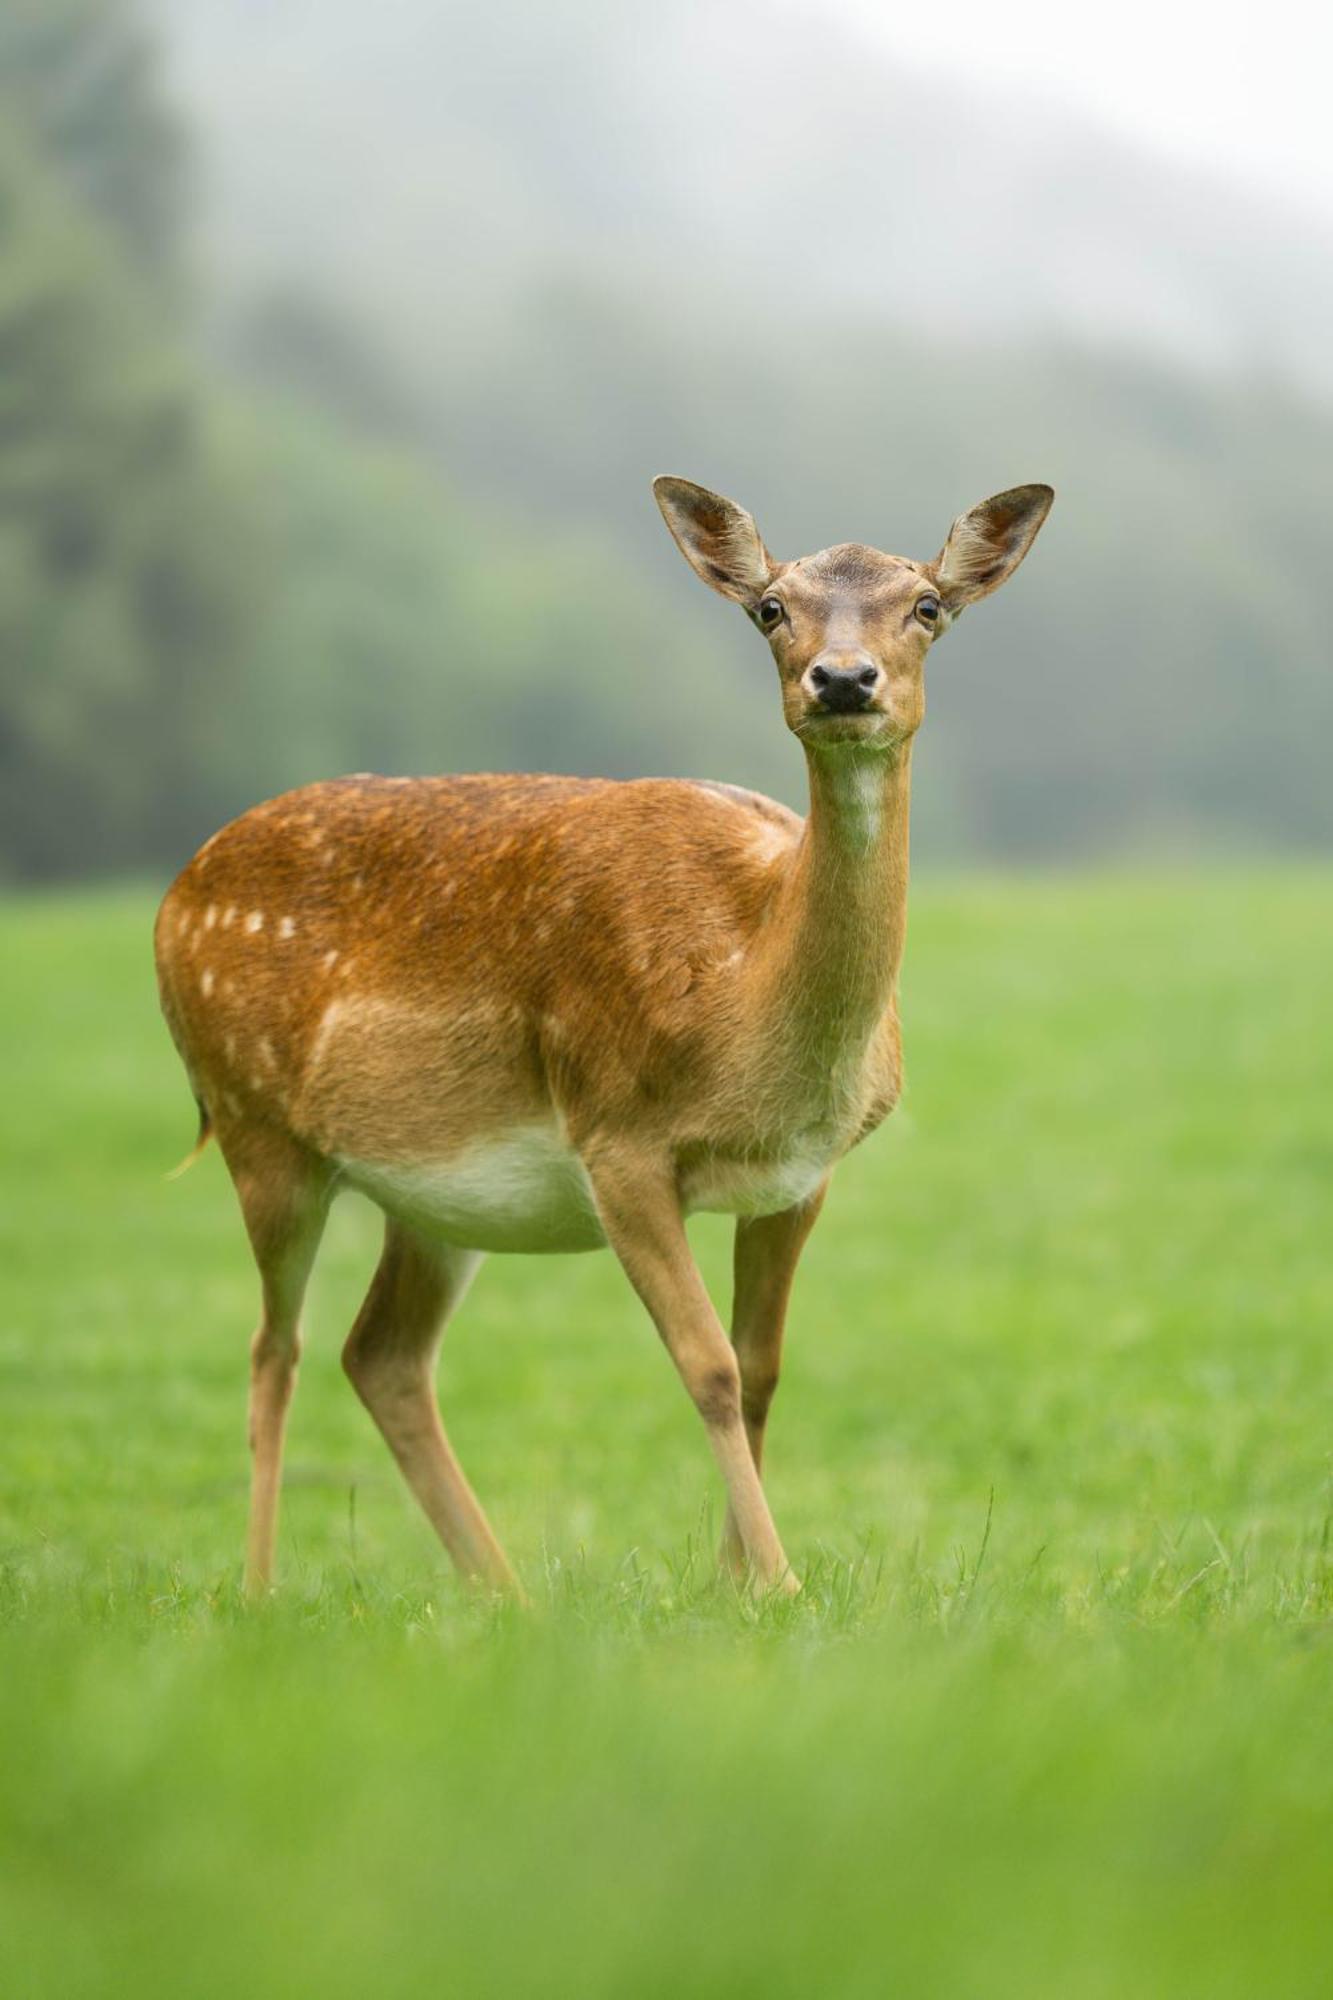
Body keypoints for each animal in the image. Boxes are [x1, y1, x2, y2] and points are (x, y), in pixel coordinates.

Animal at [156, 468, 1048, 1592]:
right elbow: (707, 1368)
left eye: (926, 605)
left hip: (431, 1193)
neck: (744, 1001)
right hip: (254, 1120)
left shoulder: (803, 1173)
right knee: (277, 1348)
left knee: (382, 1353)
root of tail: (173, 895)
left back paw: (501, 1592)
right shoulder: (615, 1133)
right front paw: (779, 1583)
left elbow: (761, 1366)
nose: (843, 680)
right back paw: (262, 1588)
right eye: (769, 608)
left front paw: (735, 1582)